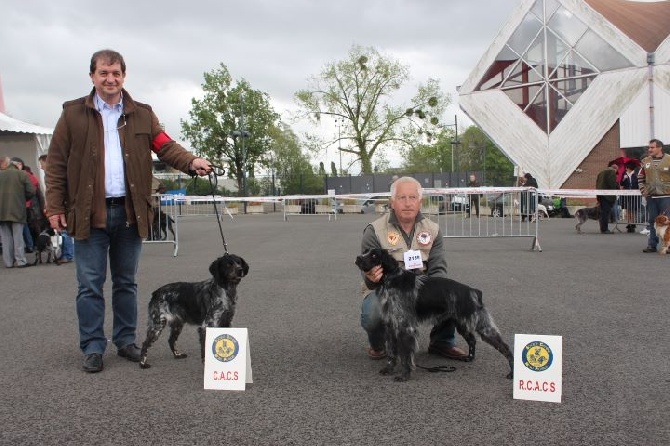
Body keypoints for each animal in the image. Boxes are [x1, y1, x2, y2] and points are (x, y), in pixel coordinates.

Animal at [356, 249, 516, 382]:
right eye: (366, 252)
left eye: (374, 255)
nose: (358, 258)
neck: (392, 281)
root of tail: (473, 291)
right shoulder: (390, 326)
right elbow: (391, 353)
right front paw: (388, 369)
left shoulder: (406, 328)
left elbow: (406, 355)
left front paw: (405, 375)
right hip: (462, 324)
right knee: (472, 340)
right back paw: (470, 358)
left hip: (483, 327)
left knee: (505, 347)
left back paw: (512, 373)